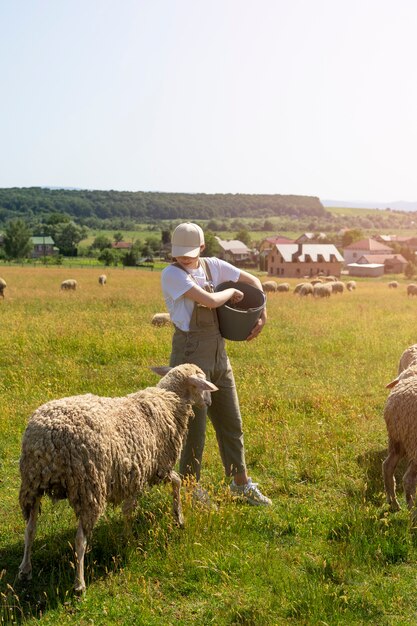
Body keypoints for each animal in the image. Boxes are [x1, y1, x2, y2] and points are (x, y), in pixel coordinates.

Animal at [17, 360, 216, 588]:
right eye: (202, 383)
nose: (209, 402)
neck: (168, 401)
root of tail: (49, 437)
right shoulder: (155, 467)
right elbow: (173, 484)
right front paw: (176, 520)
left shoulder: (137, 473)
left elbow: (134, 506)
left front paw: (131, 536)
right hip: (89, 487)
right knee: (80, 539)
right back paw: (79, 583)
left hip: (33, 483)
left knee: (30, 529)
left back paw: (25, 569)